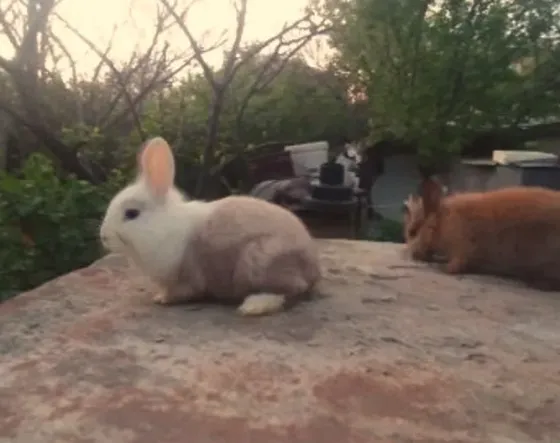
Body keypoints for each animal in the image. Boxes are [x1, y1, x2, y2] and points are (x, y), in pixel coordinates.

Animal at [98, 138, 322, 316]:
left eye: (131, 214)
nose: (103, 236)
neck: (166, 226)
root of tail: (313, 268)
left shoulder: (186, 278)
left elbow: (182, 292)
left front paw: (161, 298)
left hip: (258, 261)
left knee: (293, 290)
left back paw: (253, 306)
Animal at [406, 178, 560, 292]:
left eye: (413, 231)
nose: (412, 254)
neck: (443, 221)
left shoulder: (461, 247)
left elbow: (456, 264)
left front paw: (444, 268)